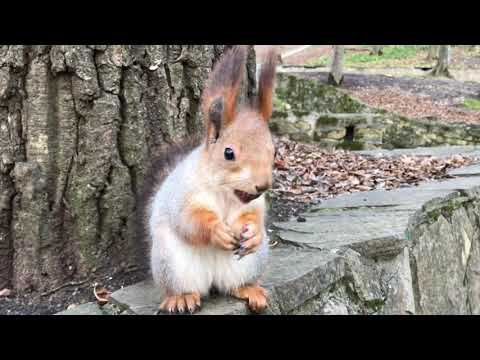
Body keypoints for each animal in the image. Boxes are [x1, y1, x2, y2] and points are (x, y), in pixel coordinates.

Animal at [140, 45, 278, 316]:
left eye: (273, 150)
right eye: (228, 153)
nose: (262, 185)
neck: (226, 194)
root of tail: (212, 280)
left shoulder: (254, 205)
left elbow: (255, 217)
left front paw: (253, 232)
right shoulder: (183, 195)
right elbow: (189, 221)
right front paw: (217, 231)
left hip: (251, 263)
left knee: (234, 285)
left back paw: (250, 290)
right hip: (171, 263)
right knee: (185, 287)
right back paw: (181, 298)